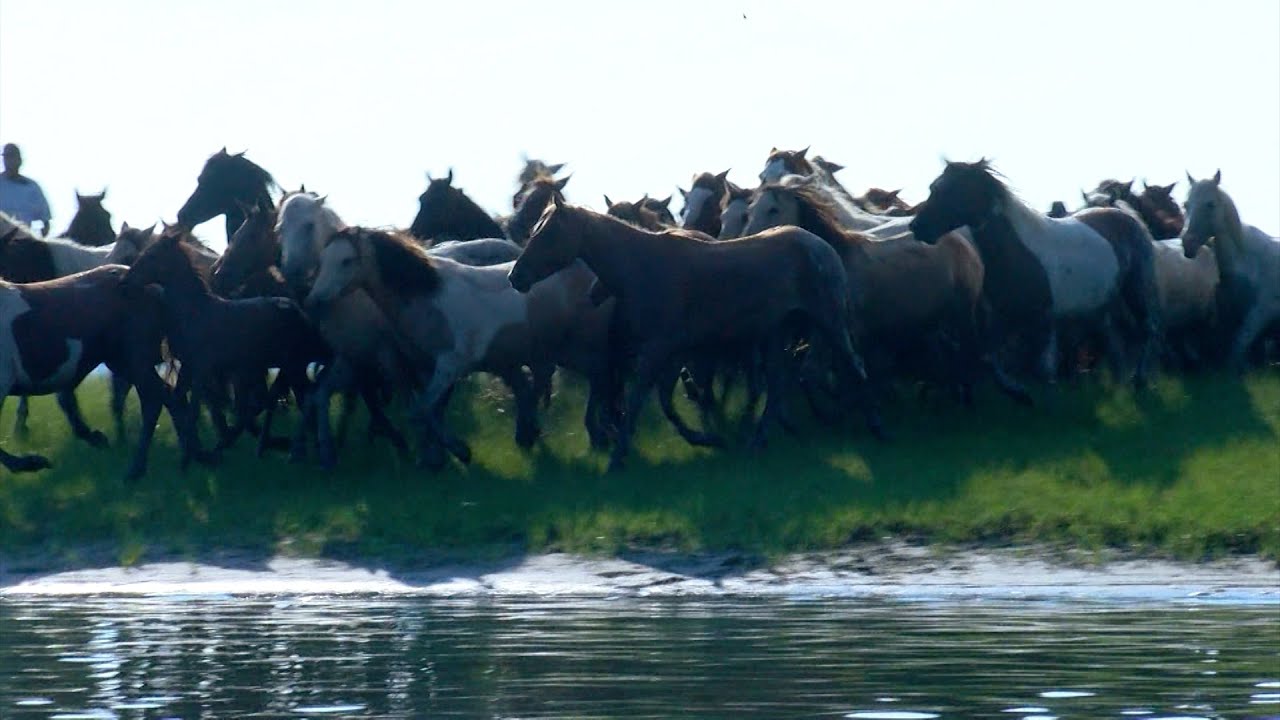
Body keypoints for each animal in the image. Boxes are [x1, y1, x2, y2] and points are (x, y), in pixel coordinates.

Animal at [507, 197, 869, 471]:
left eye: (548, 234)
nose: (515, 277)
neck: (642, 267)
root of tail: (822, 245)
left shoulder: (659, 350)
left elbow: (639, 401)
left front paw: (617, 457)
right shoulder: (673, 353)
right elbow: (668, 404)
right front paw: (710, 439)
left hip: (829, 323)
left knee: (854, 368)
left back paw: (868, 426)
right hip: (775, 335)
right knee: (780, 385)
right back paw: (758, 441)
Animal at [742, 180, 986, 405]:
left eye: (773, 209)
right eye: (750, 211)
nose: (750, 240)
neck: (837, 258)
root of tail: (960, 240)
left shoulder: (848, 332)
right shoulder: (825, 332)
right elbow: (816, 373)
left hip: (962, 313)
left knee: (968, 350)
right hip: (932, 318)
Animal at [909, 160, 1161, 393]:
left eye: (954, 190)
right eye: (933, 187)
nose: (917, 227)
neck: (1020, 253)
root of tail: (1127, 216)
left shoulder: (1043, 320)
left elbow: (1043, 371)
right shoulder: (1002, 316)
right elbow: (989, 358)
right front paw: (1018, 392)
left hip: (1135, 289)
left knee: (1147, 329)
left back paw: (1139, 379)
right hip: (1100, 306)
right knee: (1114, 342)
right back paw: (1121, 383)